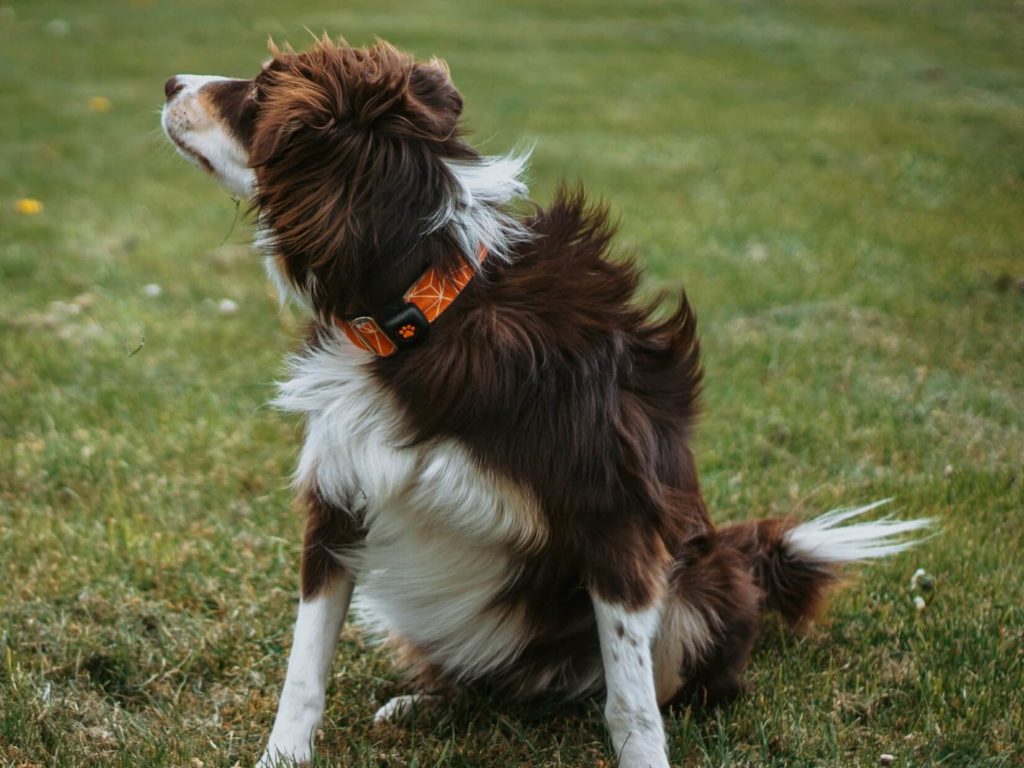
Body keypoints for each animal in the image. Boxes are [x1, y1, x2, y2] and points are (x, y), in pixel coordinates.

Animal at [161, 37, 929, 768]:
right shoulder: (340, 497)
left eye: (261, 92)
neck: (423, 317)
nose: (170, 82)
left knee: (647, 685)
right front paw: (281, 756)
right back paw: (421, 703)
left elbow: (631, 702)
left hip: (695, 590)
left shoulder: (615, 516)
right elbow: (304, 664)